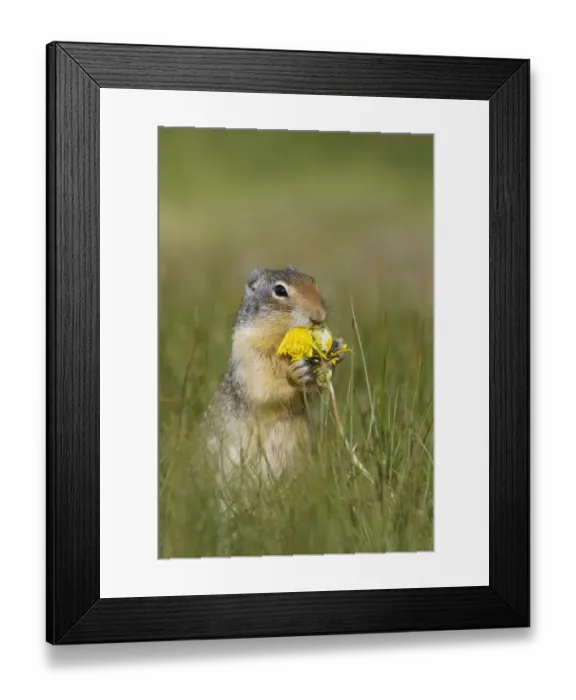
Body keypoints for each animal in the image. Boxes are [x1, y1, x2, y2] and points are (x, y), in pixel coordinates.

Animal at [201, 266, 346, 487]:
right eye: (280, 290)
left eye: (313, 281)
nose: (318, 315)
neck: (281, 340)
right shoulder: (251, 357)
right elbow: (266, 389)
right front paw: (296, 373)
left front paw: (334, 353)